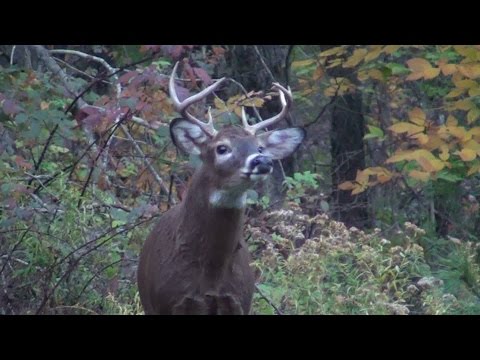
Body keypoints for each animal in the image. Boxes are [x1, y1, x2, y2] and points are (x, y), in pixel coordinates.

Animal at [137, 62, 306, 316]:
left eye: (259, 147)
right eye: (222, 148)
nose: (262, 161)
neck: (211, 275)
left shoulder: (239, 302)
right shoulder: (168, 302)